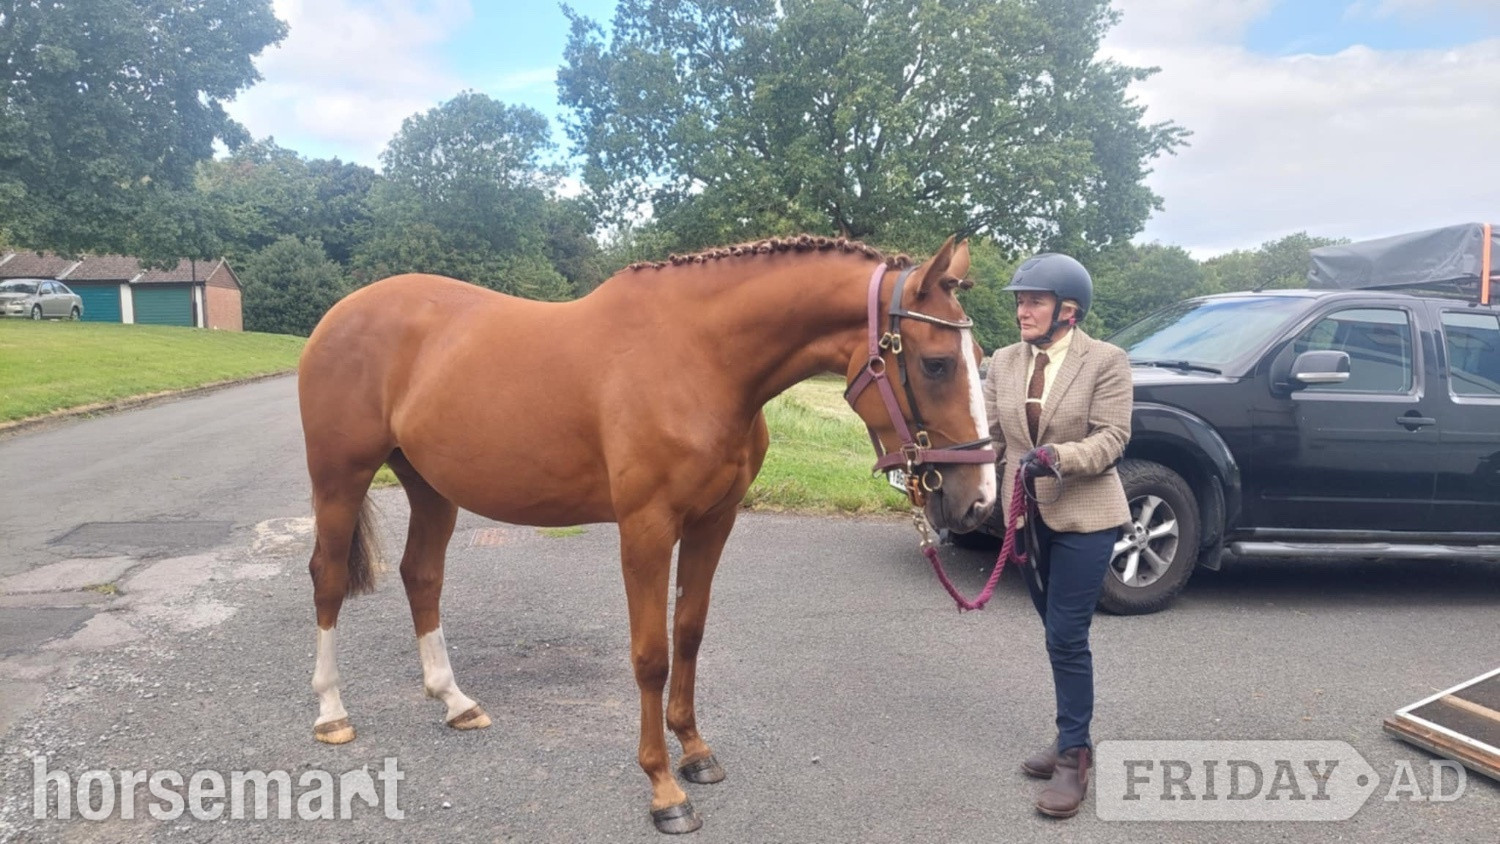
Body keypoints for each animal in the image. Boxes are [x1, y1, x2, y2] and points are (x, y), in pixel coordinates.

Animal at [295, 234, 997, 834]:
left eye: (978, 360)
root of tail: (340, 313)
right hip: (340, 478)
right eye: (936, 364)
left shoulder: (714, 522)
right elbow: (651, 654)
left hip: (431, 487)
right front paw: (664, 789)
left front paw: (695, 751)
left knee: (422, 575)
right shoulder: (646, 529)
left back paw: (454, 701)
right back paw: (332, 713)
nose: (980, 501)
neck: (699, 356)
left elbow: (689, 633)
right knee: (326, 580)